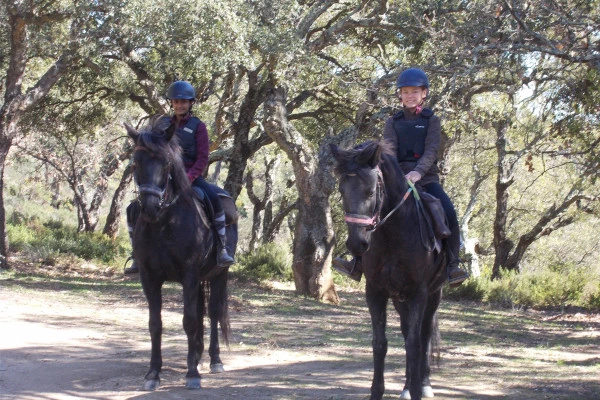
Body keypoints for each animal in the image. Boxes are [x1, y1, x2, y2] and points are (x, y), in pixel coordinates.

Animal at [125, 118, 236, 390]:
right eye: (135, 162)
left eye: (166, 163)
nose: (150, 207)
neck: (164, 223)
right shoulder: (149, 277)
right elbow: (155, 324)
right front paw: (153, 373)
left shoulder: (189, 275)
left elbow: (189, 321)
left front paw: (192, 374)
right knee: (201, 313)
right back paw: (195, 355)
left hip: (219, 274)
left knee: (213, 313)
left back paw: (214, 360)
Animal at [332, 140, 446, 400]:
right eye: (342, 191)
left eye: (370, 192)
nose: (357, 244)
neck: (392, 235)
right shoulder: (375, 292)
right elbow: (380, 343)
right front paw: (377, 390)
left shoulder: (418, 293)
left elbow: (415, 344)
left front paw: (417, 390)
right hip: (399, 299)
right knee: (406, 332)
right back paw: (406, 387)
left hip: (433, 295)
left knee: (423, 335)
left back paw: (423, 384)